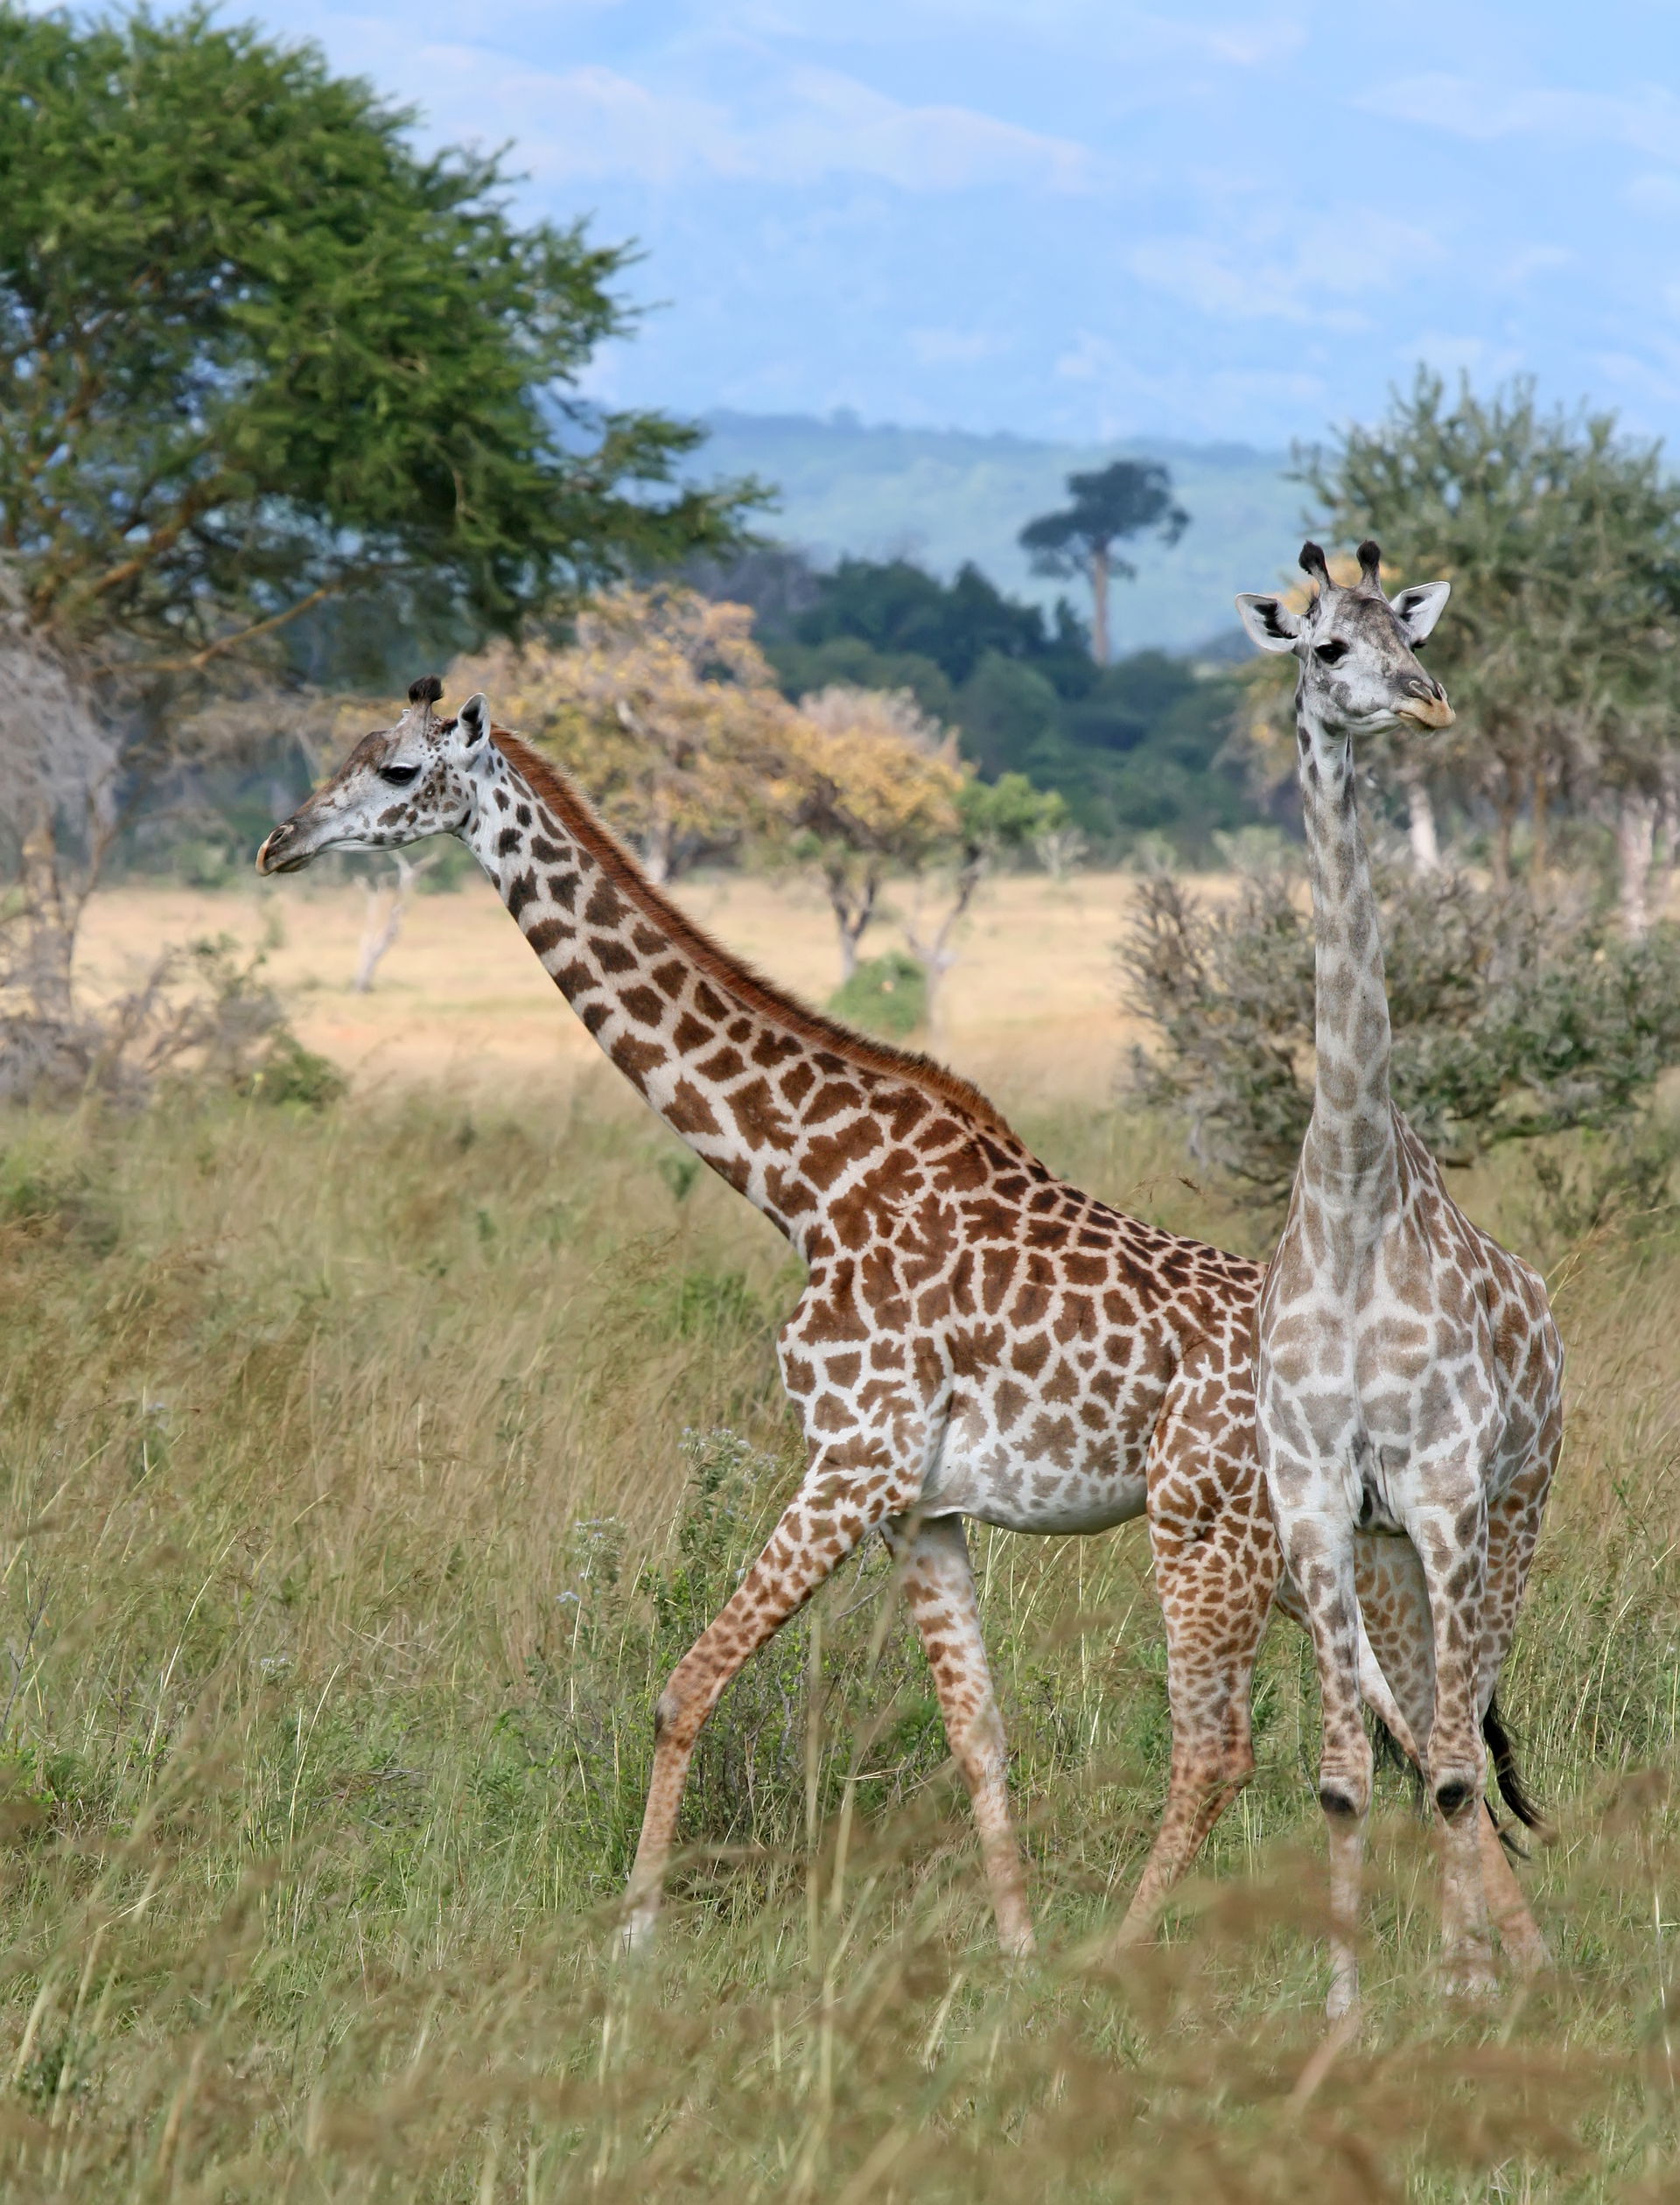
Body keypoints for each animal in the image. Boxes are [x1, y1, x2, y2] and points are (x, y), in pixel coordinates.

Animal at [255, 674, 1542, 1962]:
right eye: (349, 751)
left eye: (399, 773)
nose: (279, 844)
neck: (803, 1182)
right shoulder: (920, 1508)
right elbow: (978, 1735)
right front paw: (1015, 1954)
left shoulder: (851, 1461)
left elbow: (684, 1688)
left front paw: (633, 1937)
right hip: (1328, 1549)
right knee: (1437, 1734)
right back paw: (1518, 1959)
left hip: (1212, 1528)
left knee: (1233, 1749)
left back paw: (1135, 1956)